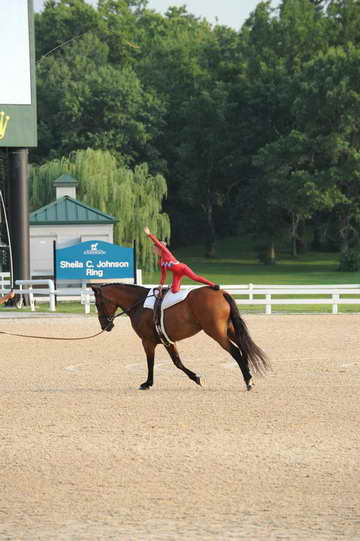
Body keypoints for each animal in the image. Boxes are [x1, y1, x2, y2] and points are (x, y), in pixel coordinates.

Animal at [91, 282, 268, 388]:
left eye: (98, 304)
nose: (105, 325)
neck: (139, 304)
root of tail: (220, 292)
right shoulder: (168, 341)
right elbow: (177, 362)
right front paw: (195, 377)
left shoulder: (147, 341)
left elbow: (151, 362)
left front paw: (148, 383)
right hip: (229, 330)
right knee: (243, 347)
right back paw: (248, 375)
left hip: (217, 333)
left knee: (236, 351)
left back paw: (247, 380)